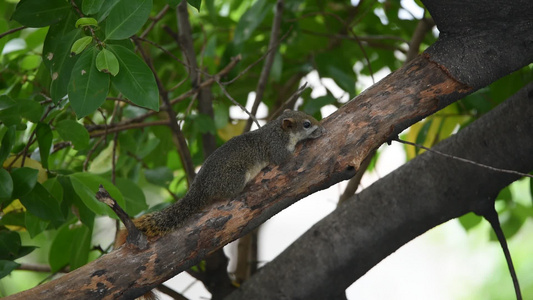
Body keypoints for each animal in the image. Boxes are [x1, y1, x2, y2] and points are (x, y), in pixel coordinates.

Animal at [128, 109, 324, 238]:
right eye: (306, 124)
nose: (318, 125)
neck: (278, 129)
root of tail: (200, 187)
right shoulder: (276, 146)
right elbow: (284, 157)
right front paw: (312, 136)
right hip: (235, 177)